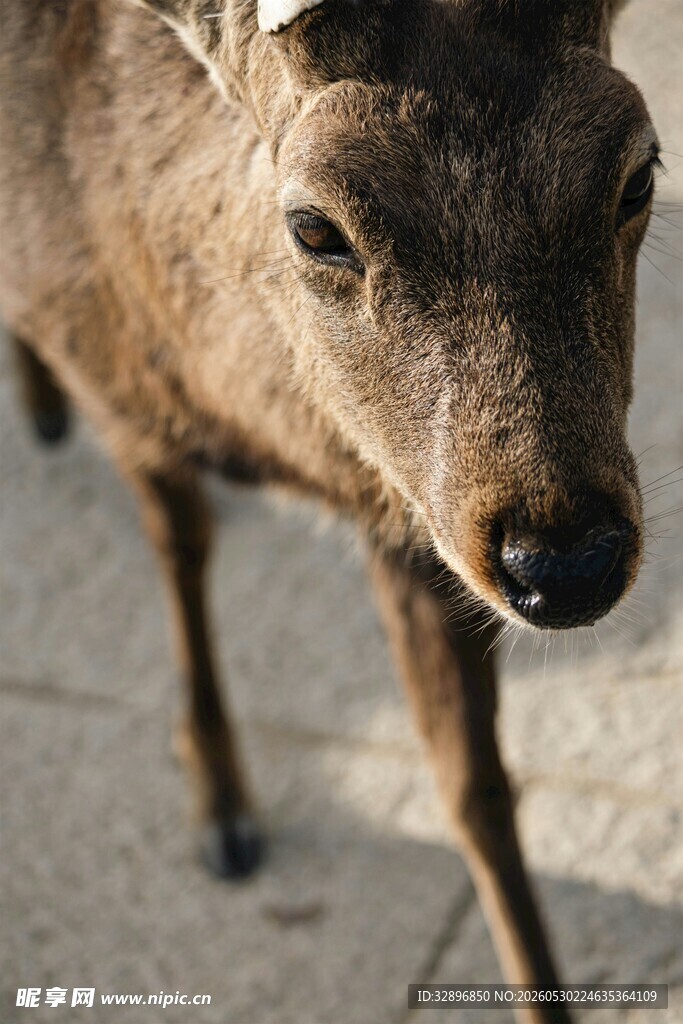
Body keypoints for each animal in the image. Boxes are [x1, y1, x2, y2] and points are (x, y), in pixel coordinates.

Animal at [0, 0, 659, 1019]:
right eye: (314, 226)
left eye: (637, 174)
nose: (566, 561)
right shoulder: (122, 399)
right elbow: (179, 551)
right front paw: (222, 815)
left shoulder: (414, 517)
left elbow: (473, 789)